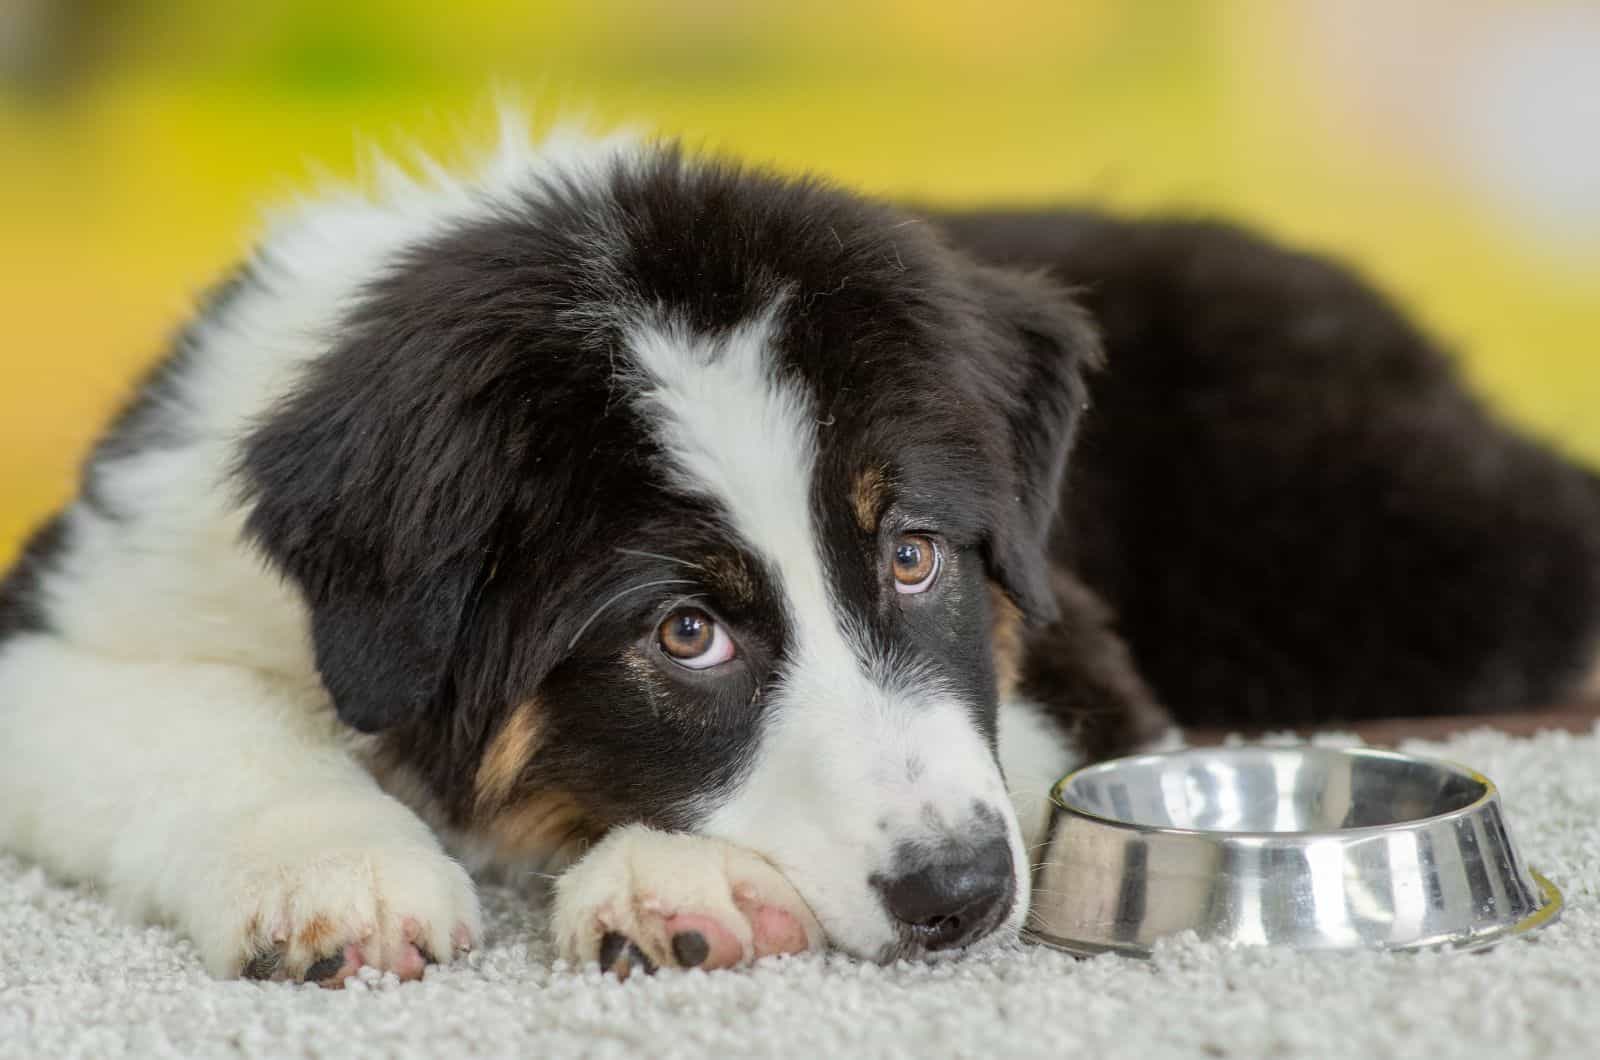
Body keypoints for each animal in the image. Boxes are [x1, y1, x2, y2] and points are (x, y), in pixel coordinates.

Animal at [3, 120, 1600, 986]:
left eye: (913, 557)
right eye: (682, 632)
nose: (965, 898)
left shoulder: (1063, 638)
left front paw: (680, 884)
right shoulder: (85, 602)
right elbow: (198, 726)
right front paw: (339, 877)